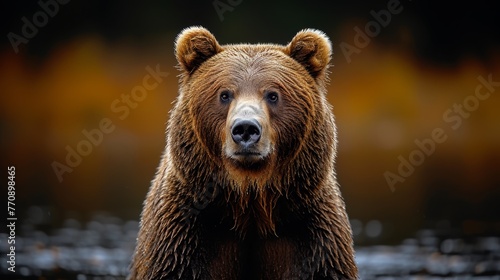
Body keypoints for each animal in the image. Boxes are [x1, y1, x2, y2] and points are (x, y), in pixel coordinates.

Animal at [129, 26, 356, 280]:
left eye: (273, 95)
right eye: (224, 94)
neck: (249, 202)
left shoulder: (312, 234)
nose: (246, 128)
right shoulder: (183, 232)